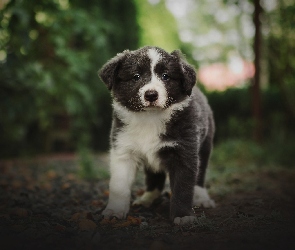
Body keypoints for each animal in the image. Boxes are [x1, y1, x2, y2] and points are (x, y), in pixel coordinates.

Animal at [98, 46, 216, 226]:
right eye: (136, 76)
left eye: (166, 76)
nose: (151, 94)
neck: (150, 118)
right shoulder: (123, 150)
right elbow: (119, 186)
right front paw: (115, 211)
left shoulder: (184, 152)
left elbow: (183, 188)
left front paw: (183, 215)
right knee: (154, 177)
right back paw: (147, 198)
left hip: (204, 146)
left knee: (200, 175)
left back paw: (202, 198)